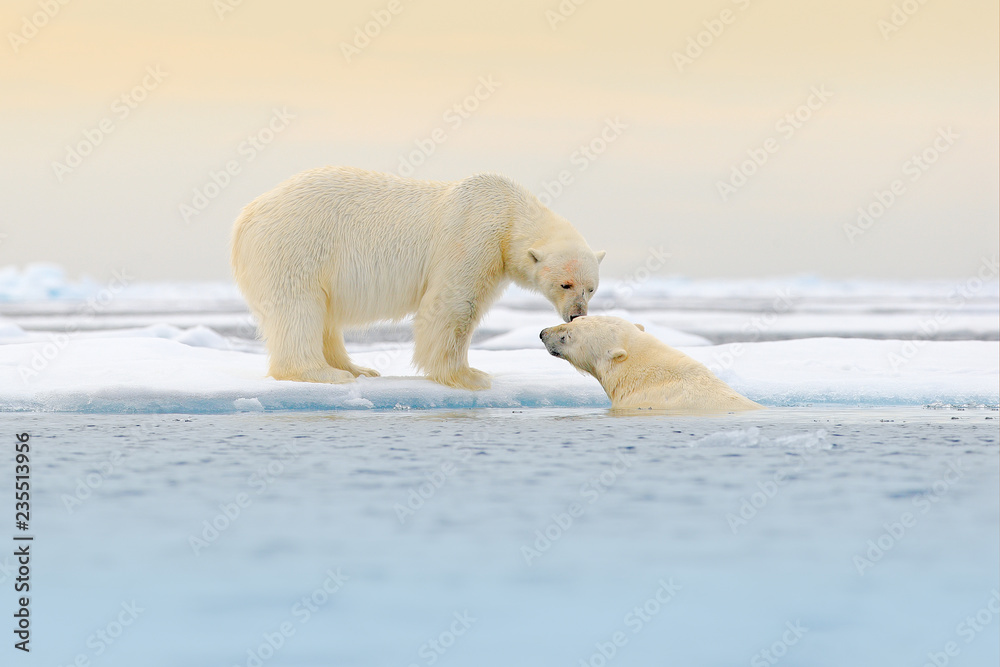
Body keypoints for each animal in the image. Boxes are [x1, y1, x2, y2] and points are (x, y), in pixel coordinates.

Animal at [231, 164, 604, 388]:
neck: (508, 213)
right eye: (565, 284)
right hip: (297, 245)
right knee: (298, 308)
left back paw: (358, 369)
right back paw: (323, 373)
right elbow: (454, 304)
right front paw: (469, 375)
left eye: (591, 288)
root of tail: (247, 216)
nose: (577, 314)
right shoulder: (473, 237)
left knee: (323, 316)